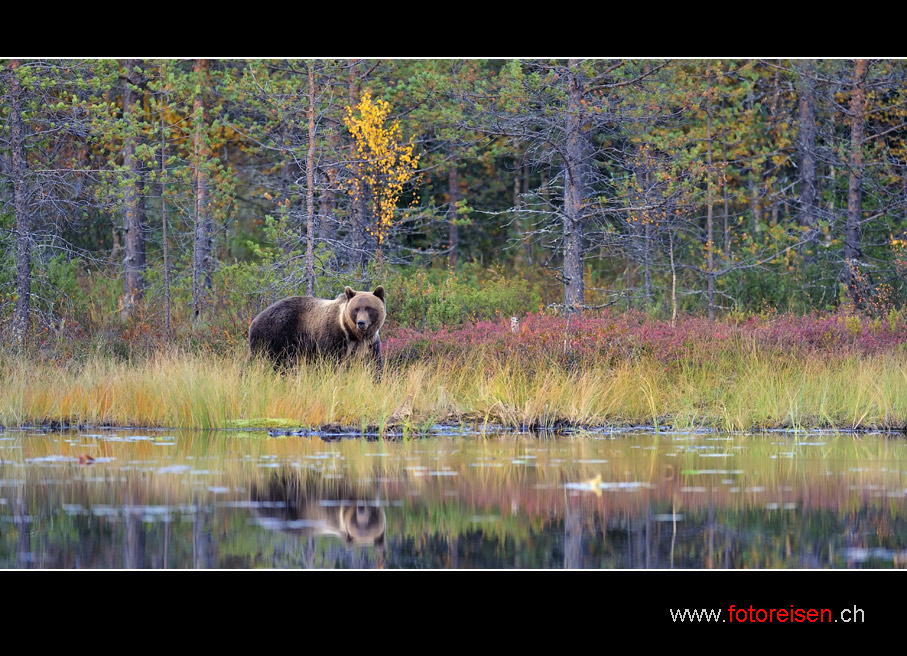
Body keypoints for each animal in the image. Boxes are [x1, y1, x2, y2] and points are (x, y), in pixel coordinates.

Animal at [248, 284, 386, 372]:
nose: (361, 323)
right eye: (356, 309)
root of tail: (255, 320)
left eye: (369, 308)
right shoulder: (333, 338)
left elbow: (374, 364)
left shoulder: (369, 343)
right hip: (273, 336)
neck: (352, 334)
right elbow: (329, 362)